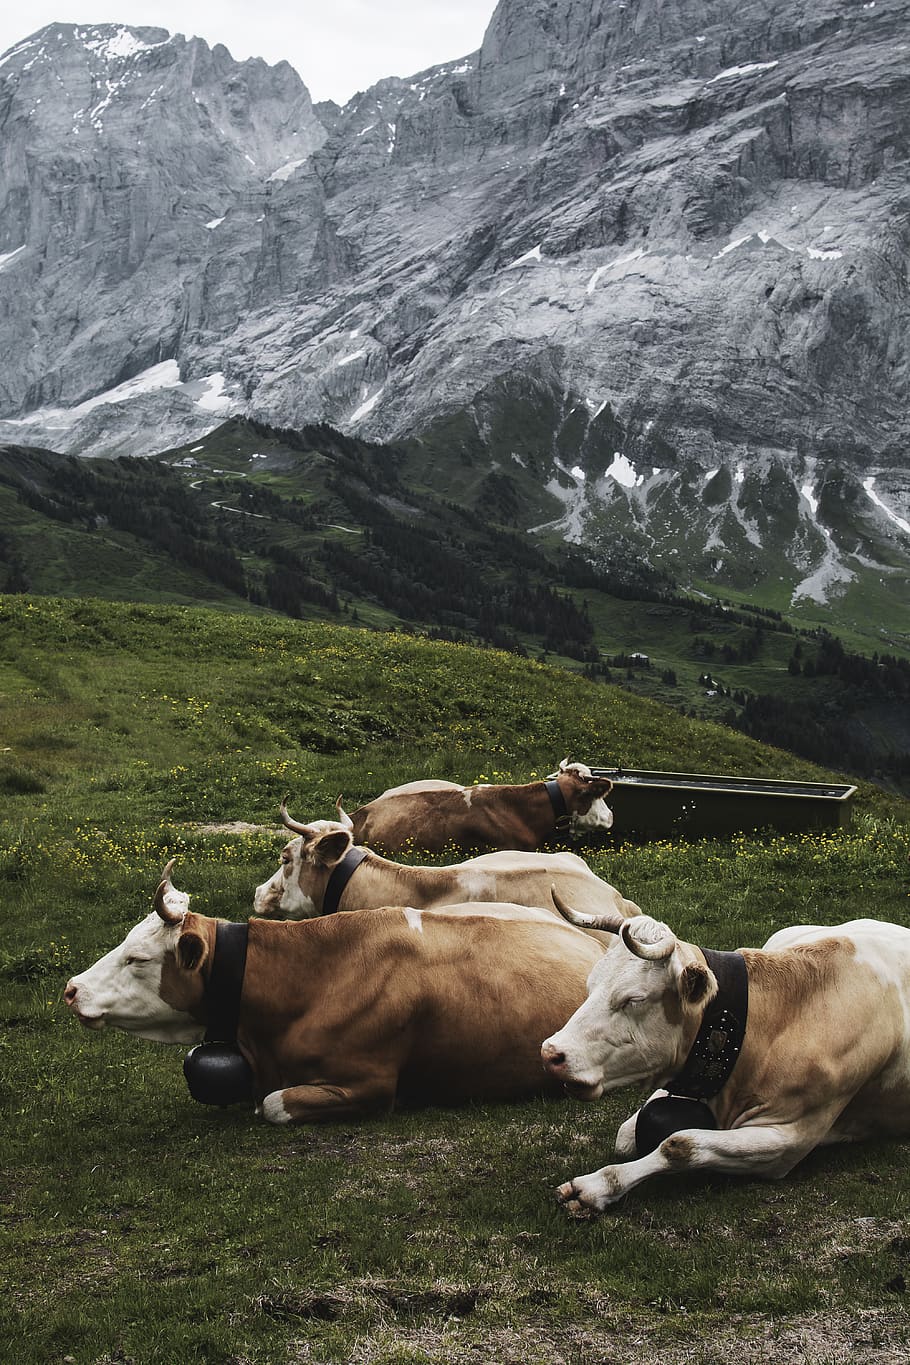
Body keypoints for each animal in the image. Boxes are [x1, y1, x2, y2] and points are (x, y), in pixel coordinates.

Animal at [541, 901, 910, 1213]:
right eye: (590, 985)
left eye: (634, 999)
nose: (551, 1053)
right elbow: (625, 1136)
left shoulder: (790, 1139)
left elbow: (680, 1143)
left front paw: (597, 1186)